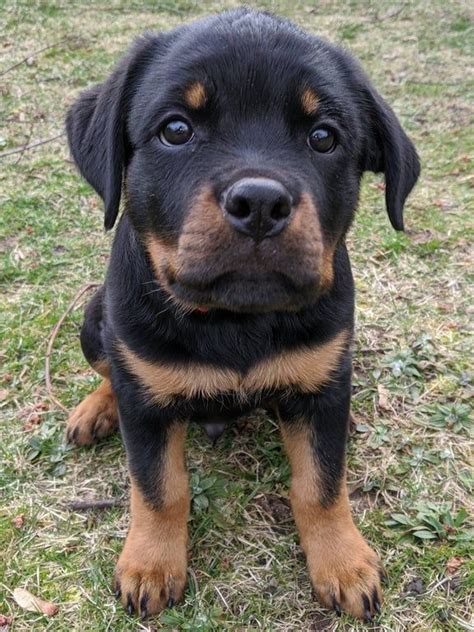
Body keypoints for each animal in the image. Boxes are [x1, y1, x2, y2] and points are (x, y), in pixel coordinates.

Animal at [65, 8, 420, 624]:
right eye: (176, 130)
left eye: (323, 137)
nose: (259, 204)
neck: (235, 320)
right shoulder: (146, 404)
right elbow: (158, 487)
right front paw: (150, 565)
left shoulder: (323, 386)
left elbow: (321, 484)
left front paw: (343, 564)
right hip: (96, 318)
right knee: (111, 367)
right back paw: (96, 409)